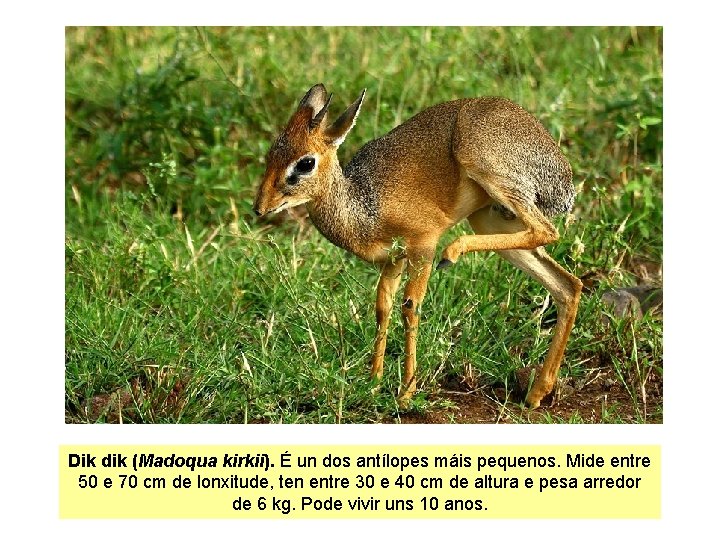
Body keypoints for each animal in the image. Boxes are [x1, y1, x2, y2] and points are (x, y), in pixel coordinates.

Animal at [256, 82, 584, 408]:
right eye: (272, 153)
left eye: (306, 162)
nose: (260, 207)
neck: (364, 206)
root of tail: (562, 174)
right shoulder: (393, 261)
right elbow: (383, 306)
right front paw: (373, 383)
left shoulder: (423, 244)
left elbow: (410, 306)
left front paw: (406, 393)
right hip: (490, 221)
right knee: (568, 284)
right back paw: (537, 392)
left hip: (488, 175)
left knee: (547, 231)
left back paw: (452, 253)